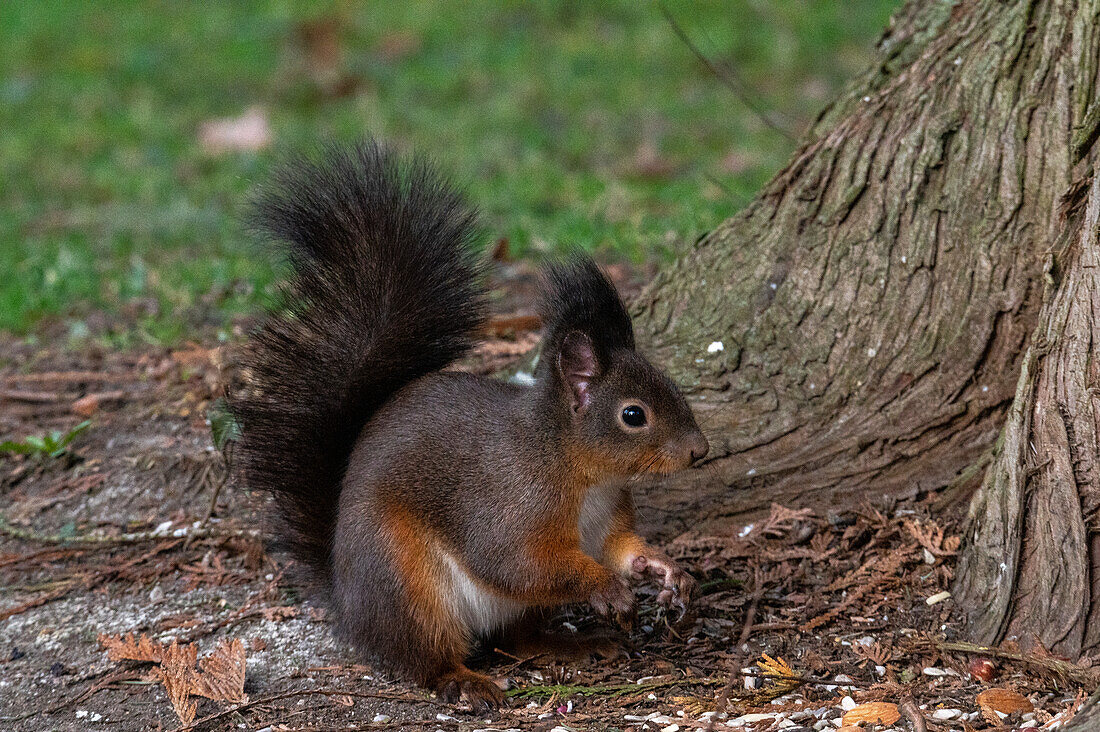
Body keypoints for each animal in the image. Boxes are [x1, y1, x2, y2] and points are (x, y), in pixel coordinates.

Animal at [231, 139, 708, 704]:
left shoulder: (605, 519)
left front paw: (665, 569)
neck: (579, 471)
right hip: (405, 580)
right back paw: (463, 681)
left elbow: (621, 549)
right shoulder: (510, 504)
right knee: (422, 657)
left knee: (516, 638)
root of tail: (346, 601)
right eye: (633, 415)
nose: (700, 450)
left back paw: (572, 644)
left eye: (673, 386)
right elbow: (519, 562)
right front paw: (605, 588)